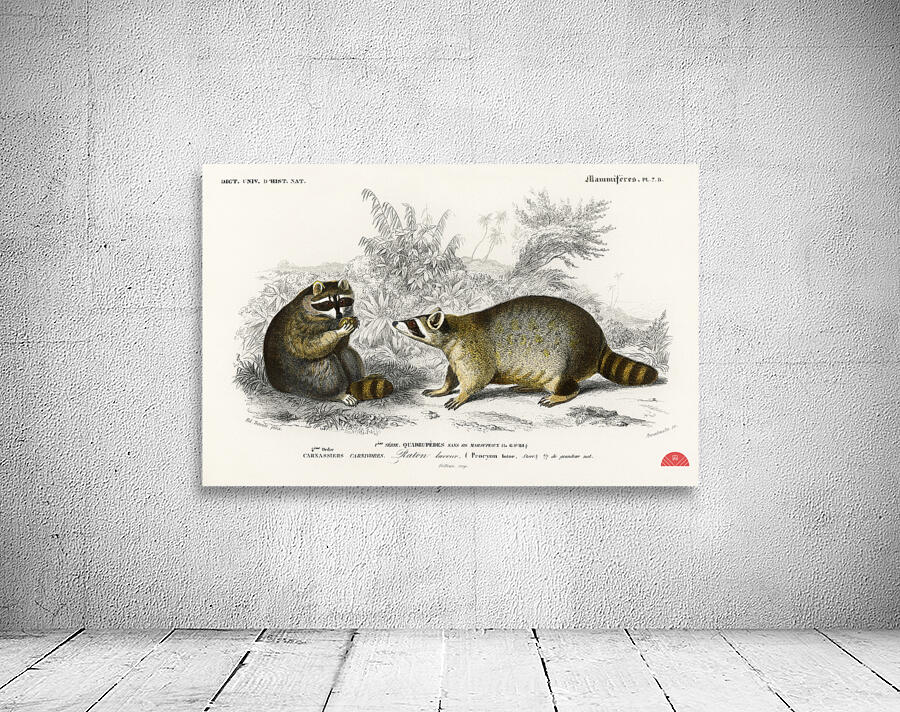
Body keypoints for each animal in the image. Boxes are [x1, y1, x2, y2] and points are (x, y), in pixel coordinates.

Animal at [263, 278, 392, 406]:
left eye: (342, 301)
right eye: (328, 304)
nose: (339, 315)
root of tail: (280, 385)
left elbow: (341, 346)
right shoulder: (299, 323)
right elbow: (307, 346)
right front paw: (339, 332)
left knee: (346, 352)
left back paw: (359, 380)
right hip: (302, 377)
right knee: (325, 367)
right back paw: (339, 394)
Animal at [392, 295, 657, 409]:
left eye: (413, 324)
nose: (394, 322)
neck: (453, 329)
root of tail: (600, 341)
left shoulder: (473, 349)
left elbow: (478, 376)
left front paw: (462, 395)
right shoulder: (455, 355)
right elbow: (452, 374)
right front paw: (443, 388)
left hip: (567, 359)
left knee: (567, 384)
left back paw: (561, 394)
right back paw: (529, 385)